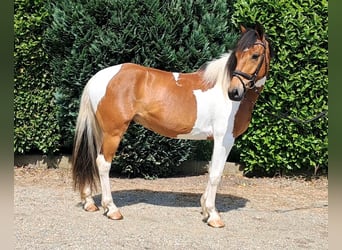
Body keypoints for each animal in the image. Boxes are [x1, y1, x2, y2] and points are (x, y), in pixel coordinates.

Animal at [72, 23, 272, 229]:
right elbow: (216, 174)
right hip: (113, 132)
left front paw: (205, 209)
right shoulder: (224, 139)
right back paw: (112, 209)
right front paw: (213, 215)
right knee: (103, 164)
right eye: (237, 56)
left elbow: (211, 172)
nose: (234, 92)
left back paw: (89, 203)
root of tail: (98, 78)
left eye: (255, 55)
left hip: (101, 131)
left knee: (91, 158)